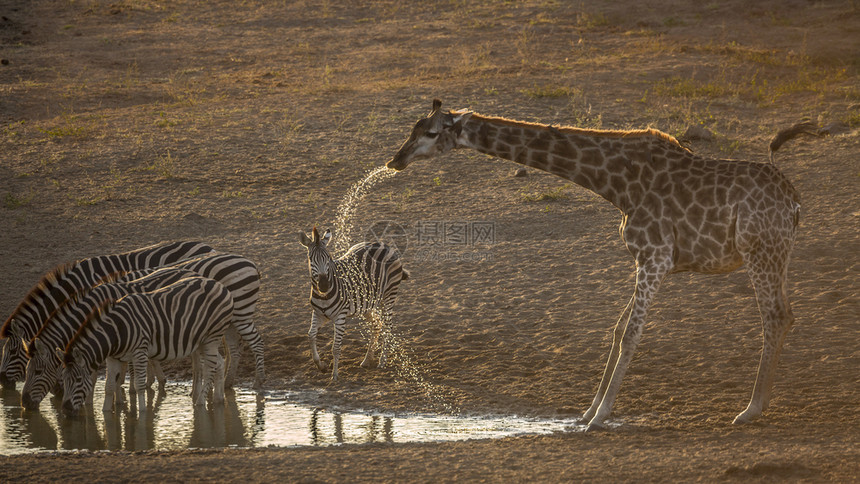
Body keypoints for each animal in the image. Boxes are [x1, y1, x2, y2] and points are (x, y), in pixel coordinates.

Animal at [59, 276, 235, 416]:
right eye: (63, 379)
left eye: (78, 379)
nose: (65, 409)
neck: (116, 331)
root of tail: (219, 284)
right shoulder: (113, 358)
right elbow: (109, 386)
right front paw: (106, 413)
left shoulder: (140, 352)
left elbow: (139, 385)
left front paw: (143, 414)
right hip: (202, 341)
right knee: (219, 363)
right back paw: (218, 400)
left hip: (212, 337)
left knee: (210, 368)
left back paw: (199, 403)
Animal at [298, 227, 410, 382]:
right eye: (310, 259)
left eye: (329, 258)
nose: (324, 285)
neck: (323, 296)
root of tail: (384, 245)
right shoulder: (318, 314)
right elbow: (311, 335)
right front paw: (321, 366)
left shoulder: (340, 317)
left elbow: (336, 347)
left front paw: (334, 375)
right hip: (367, 304)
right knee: (377, 325)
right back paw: (367, 360)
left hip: (388, 296)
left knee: (387, 327)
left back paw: (382, 361)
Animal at [386, 99, 816, 432]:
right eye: (413, 128)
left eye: (430, 134)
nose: (395, 160)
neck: (617, 183)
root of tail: (793, 202)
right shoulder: (645, 259)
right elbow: (617, 329)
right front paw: (589, 411)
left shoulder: (656, 256)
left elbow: (631, 335)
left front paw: (600, 417)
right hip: (776, 253)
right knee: (787, 314)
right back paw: (759, 403)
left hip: (760, 250)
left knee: (775, 316)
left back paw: (750, 410)